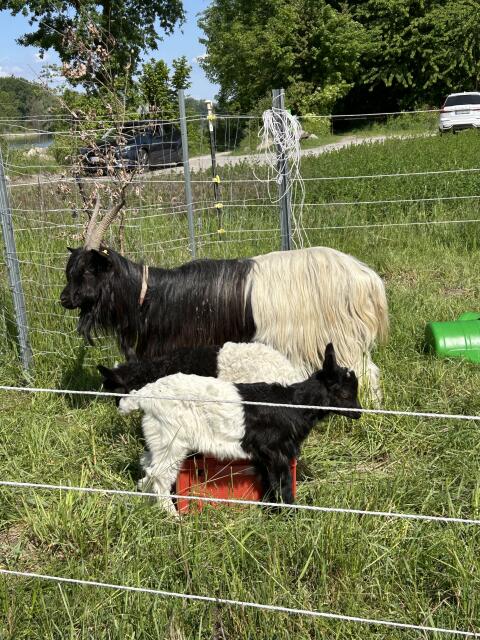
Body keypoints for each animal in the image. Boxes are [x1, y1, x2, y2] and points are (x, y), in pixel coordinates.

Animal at [119, 343, 361, 515]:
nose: (359, 412)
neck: (294, 404)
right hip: (171, 440)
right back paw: (172, 517)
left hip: (158, 439)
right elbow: (282, 485)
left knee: (147, 467)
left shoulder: (265, 456)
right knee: (159, 476)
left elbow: (268, 484)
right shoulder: (276, 452)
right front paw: (290, 516)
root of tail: (143, 396)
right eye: (345, 394)